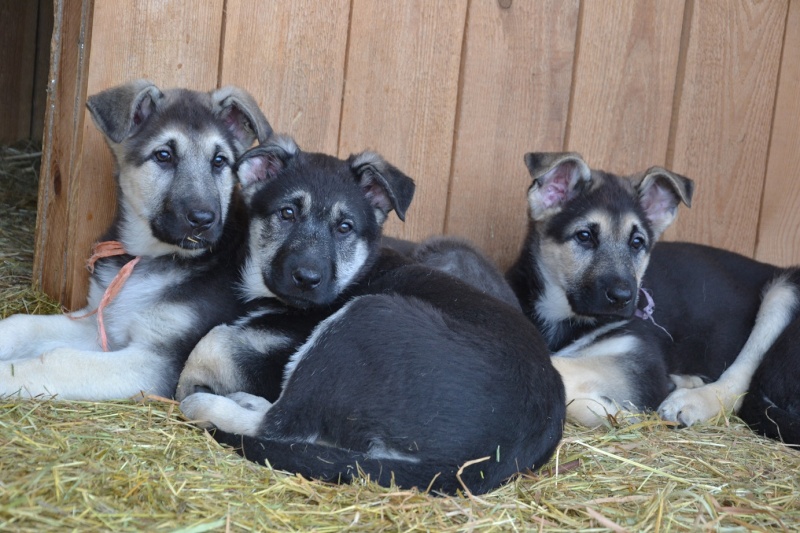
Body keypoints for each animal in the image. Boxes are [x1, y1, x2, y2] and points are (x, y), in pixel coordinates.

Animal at [0, 79, 272, 400]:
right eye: (164, 155)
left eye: (219, 161)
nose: (203, 220)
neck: (150, 257)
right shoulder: (102, 321)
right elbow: (22, 325)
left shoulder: (157, 358)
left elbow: (58, 359)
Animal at [178, 137, 564, 494]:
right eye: (287, 214)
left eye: (345, 227)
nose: (307, 278)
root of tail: (484, 462)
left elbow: (211, 343)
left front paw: (190, 383)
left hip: (362, 320)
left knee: (280, 423)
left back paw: (206, 405)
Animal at [506, 152, 800, 442]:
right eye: (585, 236)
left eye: (637, 242)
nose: (624, 297)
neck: (565, 318)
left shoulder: (639, 360)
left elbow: (555, 364)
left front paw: (614, 412)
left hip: (784, 291)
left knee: (740, 382)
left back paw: (690, 401)